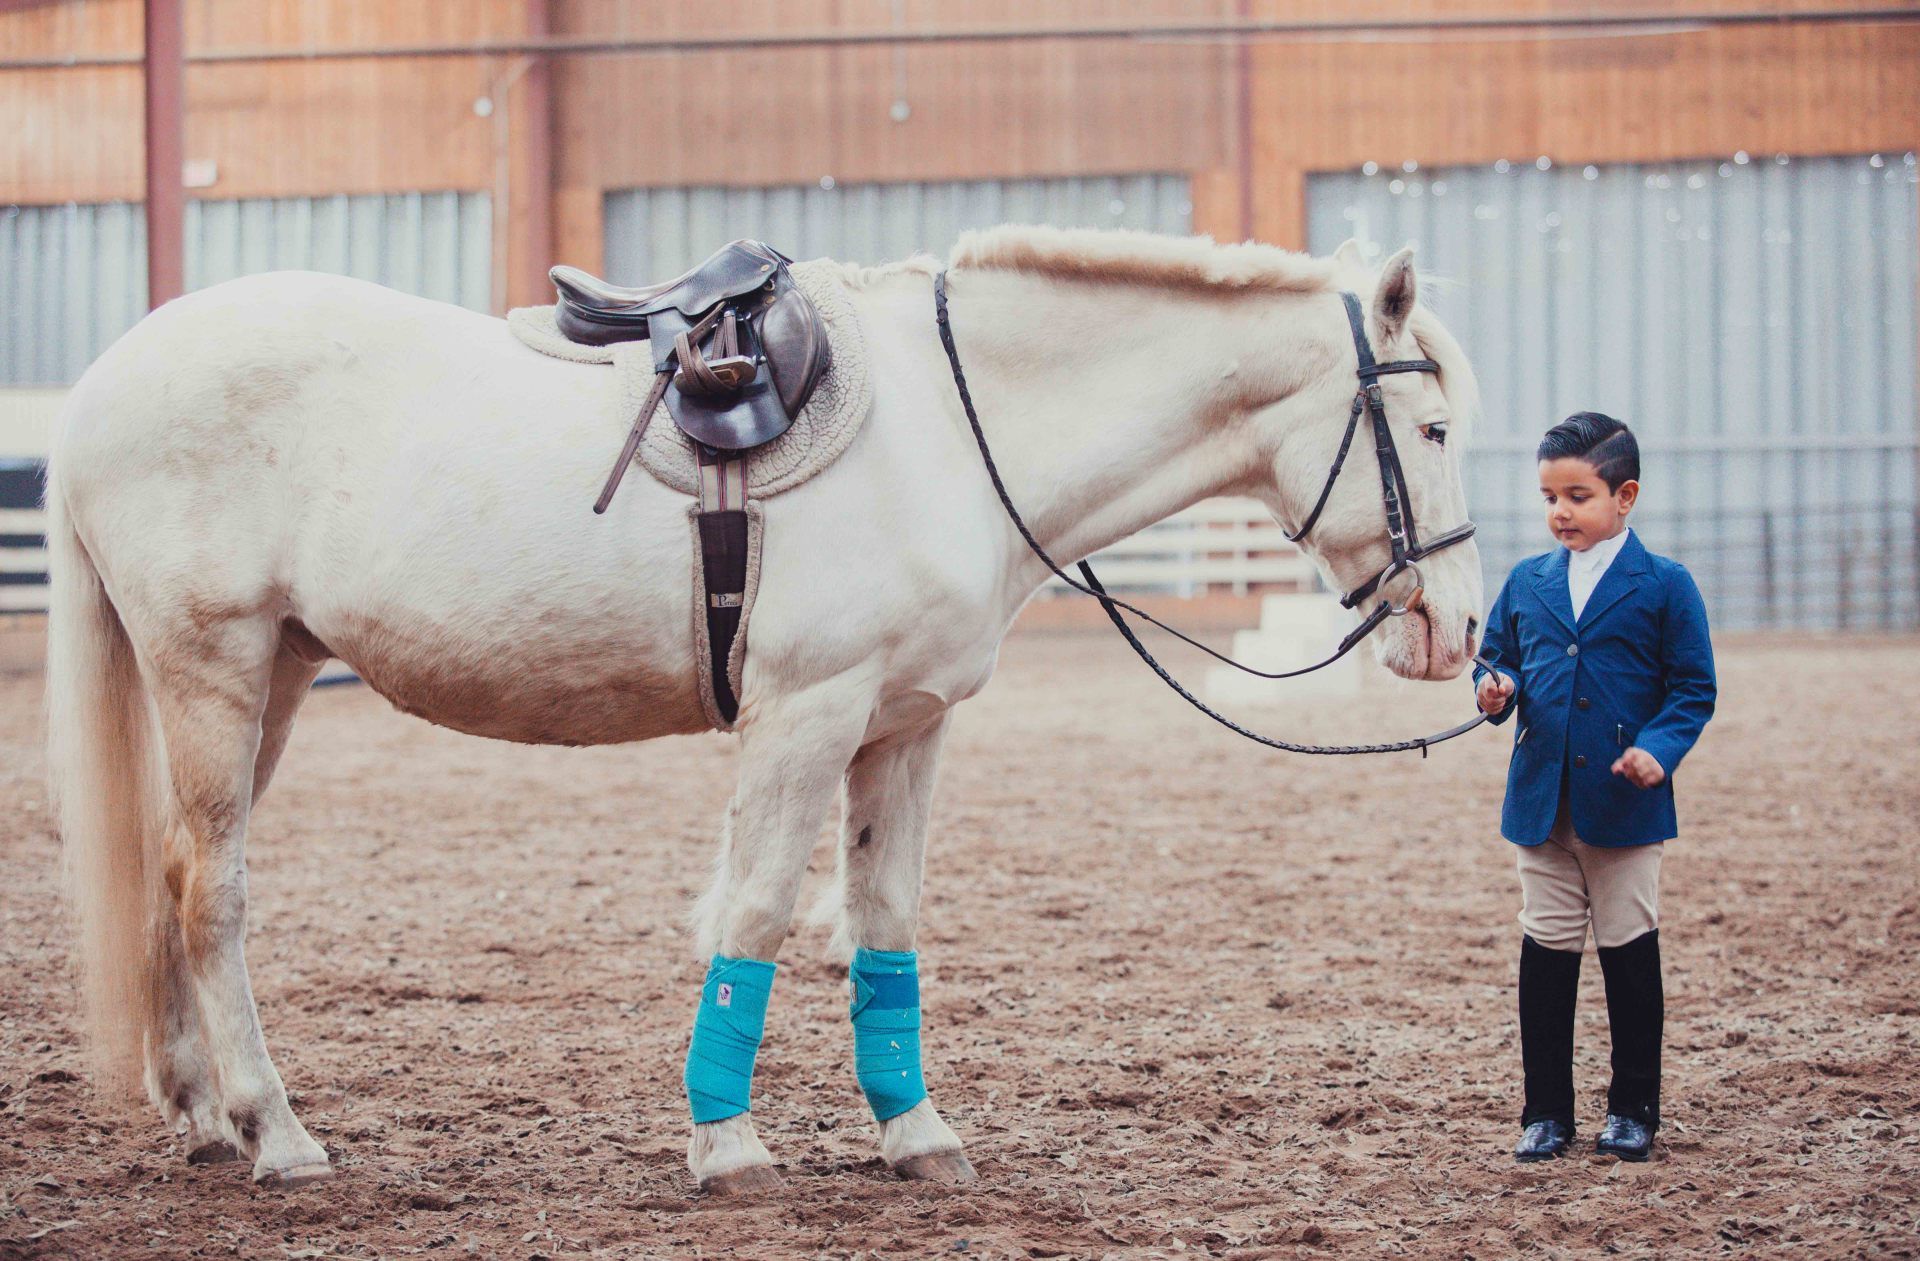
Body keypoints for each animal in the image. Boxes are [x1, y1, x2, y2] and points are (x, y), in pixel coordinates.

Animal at [44, 227, 1483, 1193]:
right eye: (1432, 426)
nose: (1459, 632)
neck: (953, 425)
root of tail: (106, 380)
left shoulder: (905, 725)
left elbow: (884, 922)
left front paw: (914, 1130)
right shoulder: (806, 715)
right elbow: (756, 918)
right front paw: (725, 1141)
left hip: (277, 678)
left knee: (172, 871)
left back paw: (202, 1108)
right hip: (214, 671)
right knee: (213, 892)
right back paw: (276, 1131)